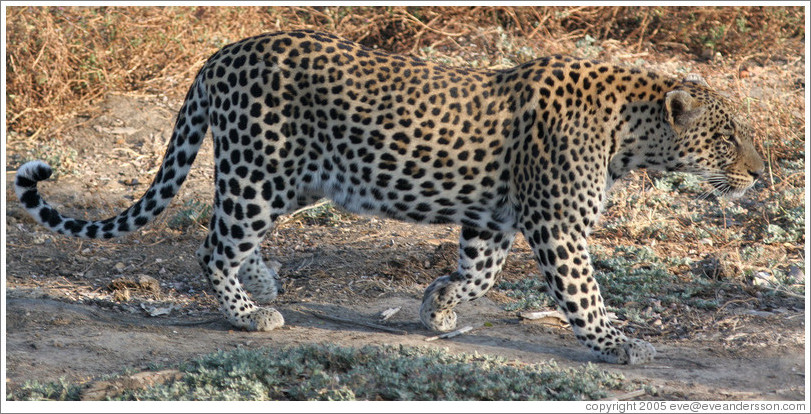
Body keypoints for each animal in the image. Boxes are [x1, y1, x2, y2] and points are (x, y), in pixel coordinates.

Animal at [15, 29, 764, 364]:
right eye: (729, 137)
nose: (761, 175)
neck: (630, 133)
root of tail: (222, 53)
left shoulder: (492, 219)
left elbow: (479, 273)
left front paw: (438, 307)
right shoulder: (556, 227)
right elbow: (581, 289)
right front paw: (613, 340)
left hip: (293, 178)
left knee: (234, 237)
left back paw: (264, 282)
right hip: (261, 171)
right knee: (212, 246)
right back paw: (249, 314)